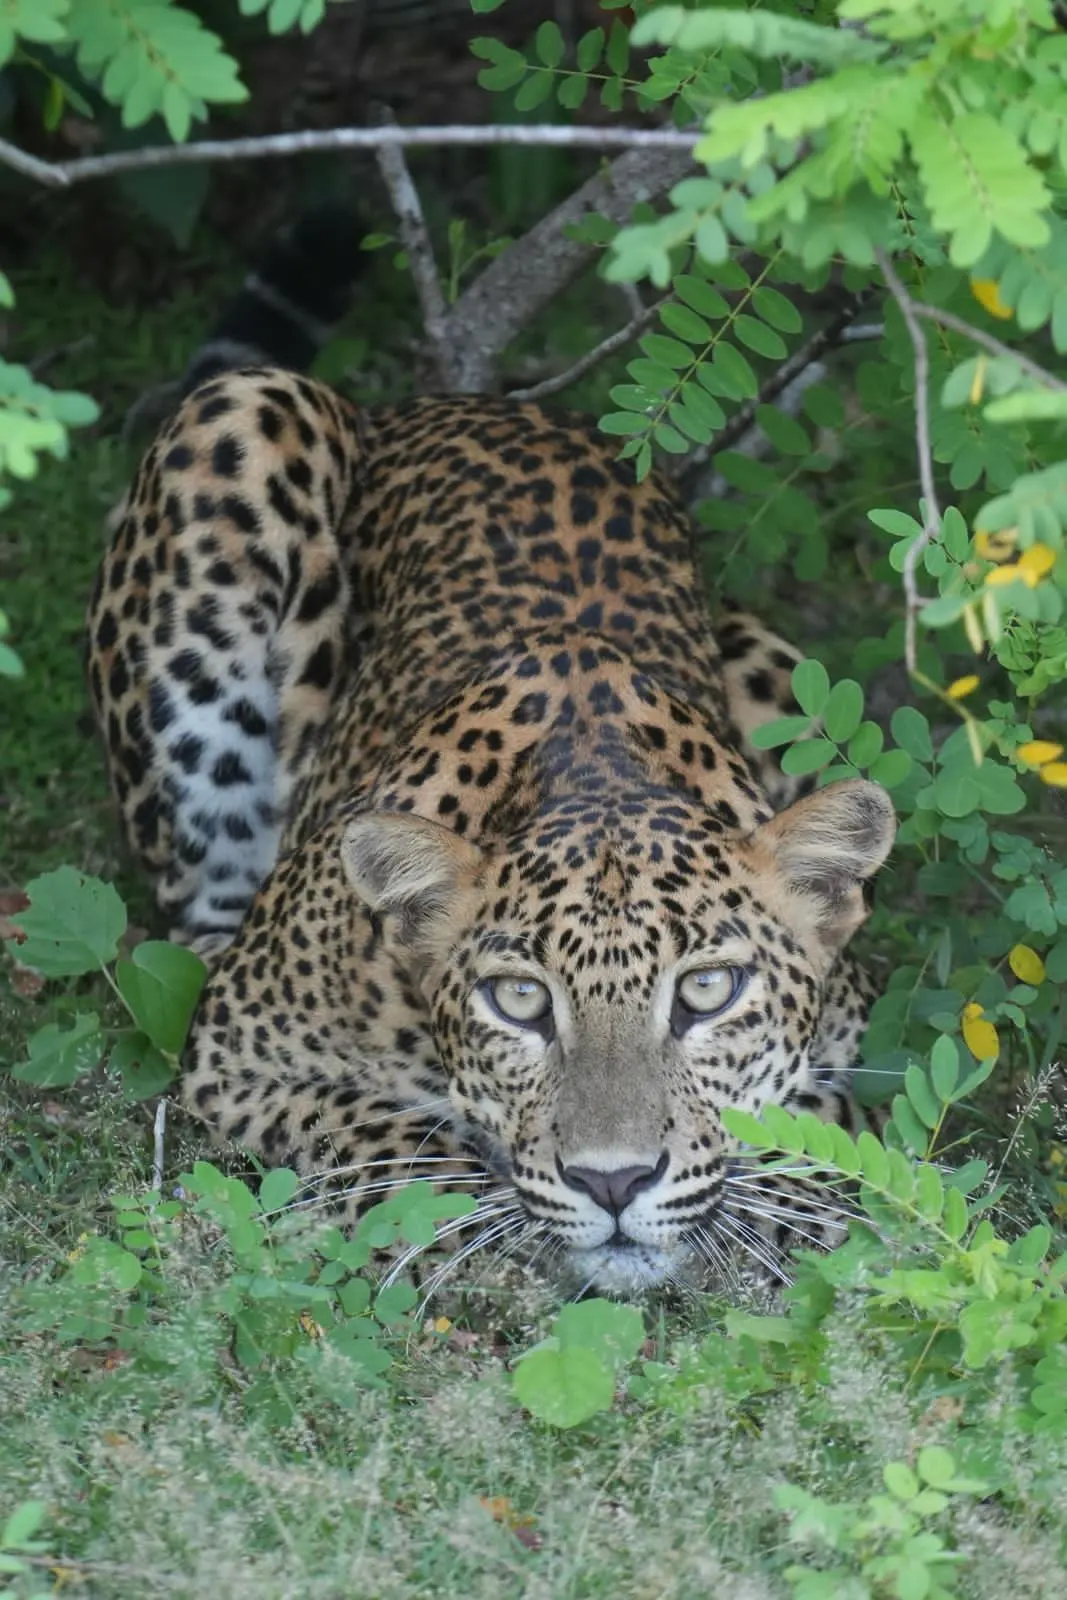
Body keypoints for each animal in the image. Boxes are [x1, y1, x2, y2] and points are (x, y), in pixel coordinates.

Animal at [86, 212, 895, 1296]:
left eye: (705, 992)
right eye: (518, 1001)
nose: (613, 1180)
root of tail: (437, 403)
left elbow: (823, 1131)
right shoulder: (237, 1046)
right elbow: (398, 1148)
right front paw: (483, 1230)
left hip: (775, 670)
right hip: (243, 417)